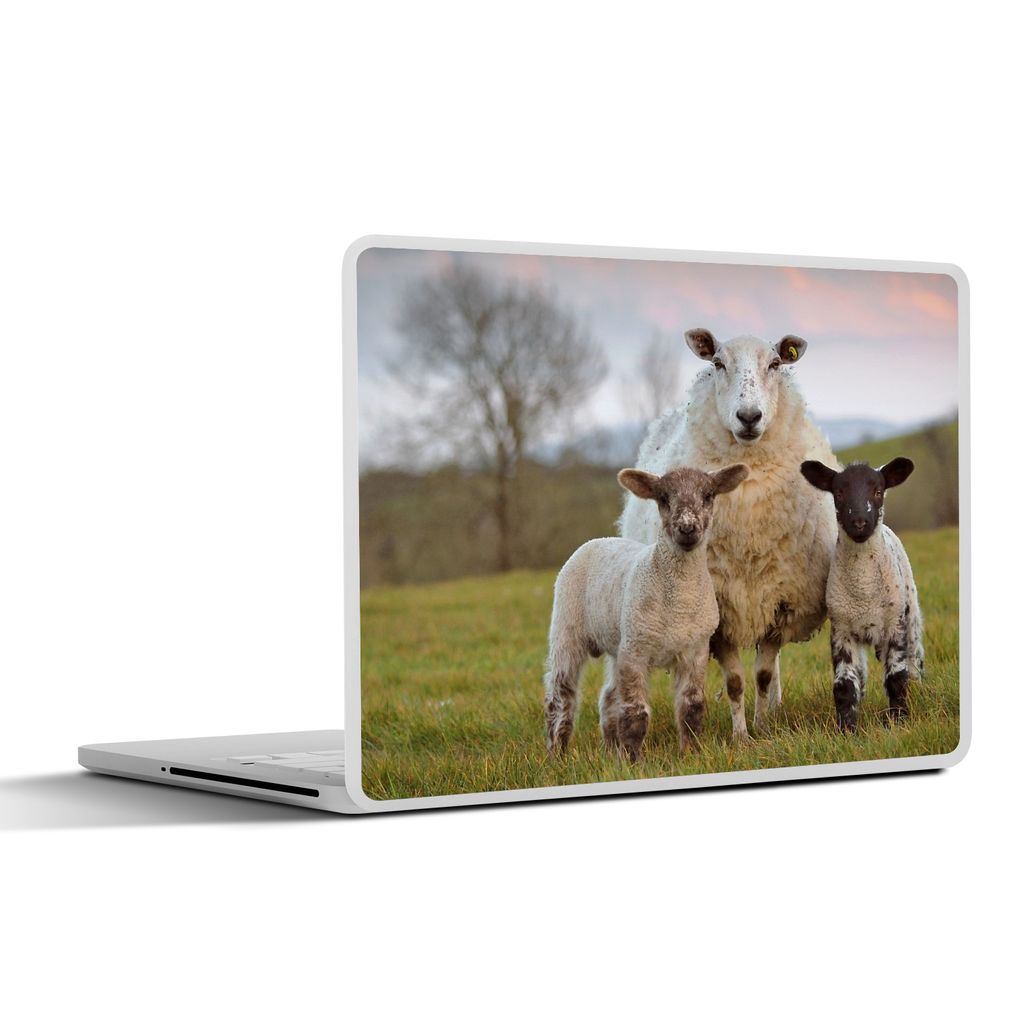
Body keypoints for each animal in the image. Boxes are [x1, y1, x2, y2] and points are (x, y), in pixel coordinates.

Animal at [544, 462, 749, 761]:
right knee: (560, 694)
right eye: (663, 498)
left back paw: (610, 749)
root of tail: (599, 539)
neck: (678, 601)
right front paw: (632, 760)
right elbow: (635, 712)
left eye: (708, 495)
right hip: (567, 626)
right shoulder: (636, 651)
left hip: (618, 639)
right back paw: (557, 752)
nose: (687, 528)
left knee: (608, 697)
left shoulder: (695, 650)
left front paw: (691, 754)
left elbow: (692, 707)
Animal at [618, 328, 839, 741]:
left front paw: (764, 726)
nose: (749, 417)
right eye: (718, 363)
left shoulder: (779, 601)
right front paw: (740, 737)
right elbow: (735, 682)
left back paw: (775, 707)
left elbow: (764, 674)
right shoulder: (719, 612)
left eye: (775, 363)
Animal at [800, 457, 925, 730]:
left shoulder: (895, 625)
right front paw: (847, 729)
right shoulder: (842, 630)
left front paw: (899, 722)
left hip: (910, 615)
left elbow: (896, 677)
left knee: (915, 665)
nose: (859, 522)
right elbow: (845, 685)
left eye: (878, 491)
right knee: (862, 677)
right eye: (838, 493)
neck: (864, 589)